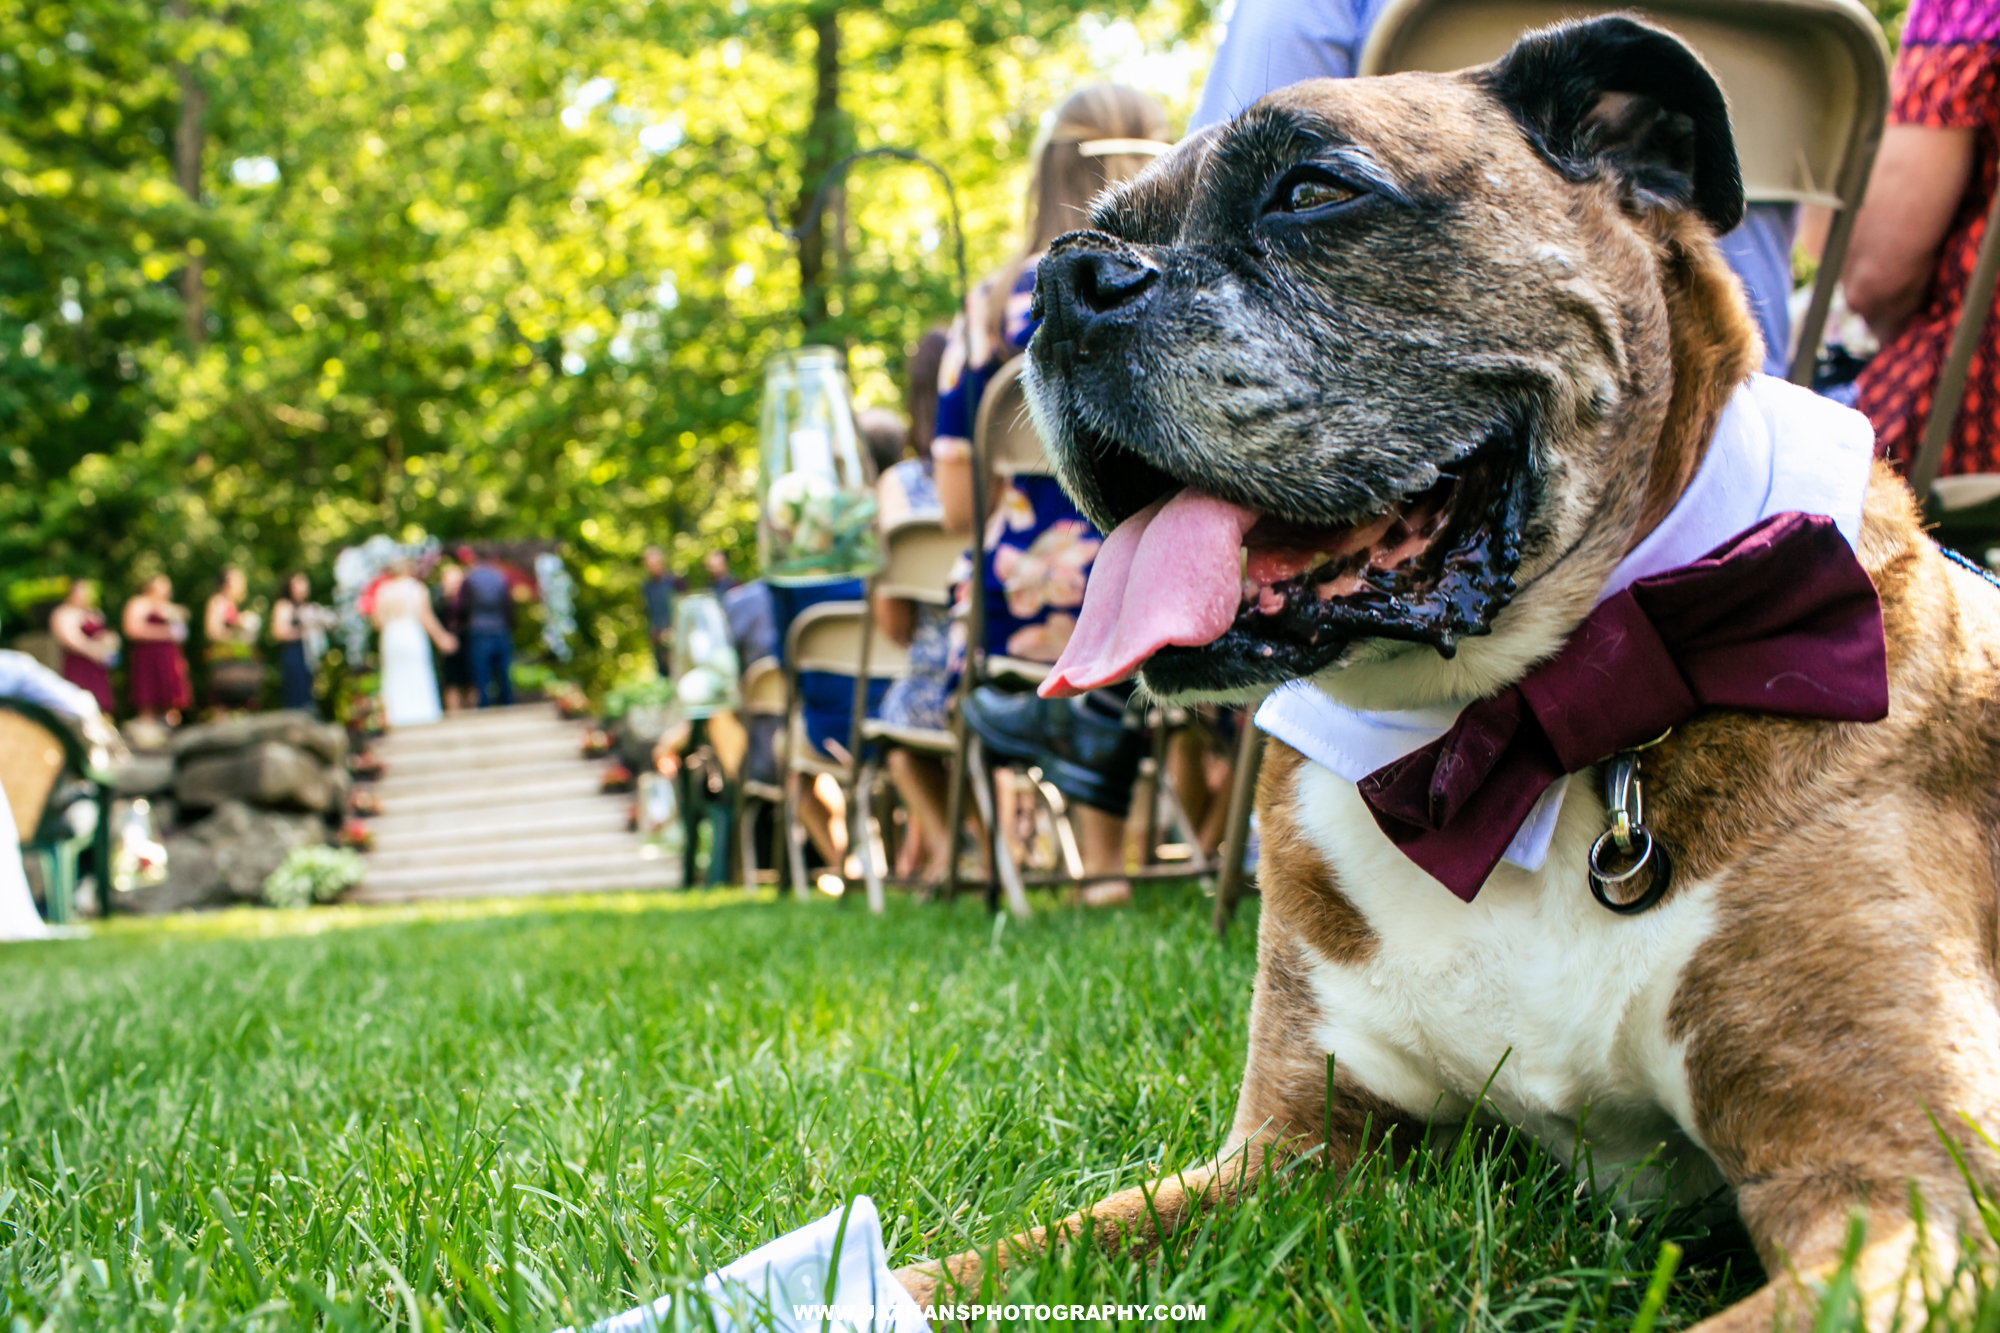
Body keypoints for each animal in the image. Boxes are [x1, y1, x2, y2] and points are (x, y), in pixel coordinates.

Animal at [900, 15, 2000, 1320]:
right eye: (1101, 228)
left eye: (1312, 191)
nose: (1062, 286)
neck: (1499, 733)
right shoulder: (1289, 1153)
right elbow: (977, 1262)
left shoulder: (1900, 1198)